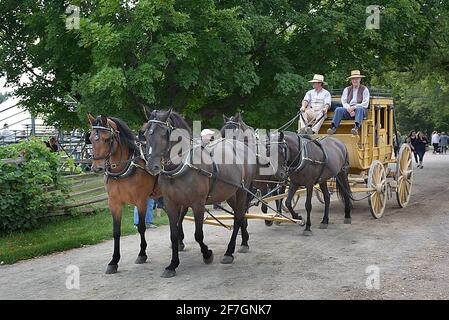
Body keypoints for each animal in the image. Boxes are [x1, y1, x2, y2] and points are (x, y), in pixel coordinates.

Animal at [86, 114, 160, 274]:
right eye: (91, 138)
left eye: (107, 139)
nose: (97, 168)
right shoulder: (114, 203)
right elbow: (116, 231)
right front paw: (113, 261)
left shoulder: (141, 201)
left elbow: (141, 227)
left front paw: (142, 254)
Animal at [142, 109, 258, 278]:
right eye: (145, 134)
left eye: (164, 134)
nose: (152, 166)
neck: (182, 168)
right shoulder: (171, 203)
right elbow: (174, 234)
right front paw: (172, 265)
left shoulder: (198, 203)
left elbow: (198, 234)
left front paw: (207, 254)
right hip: (230, 193)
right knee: (240, 213)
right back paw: (244, 242)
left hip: (243, 189)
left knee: (238, 217)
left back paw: (229, 252)